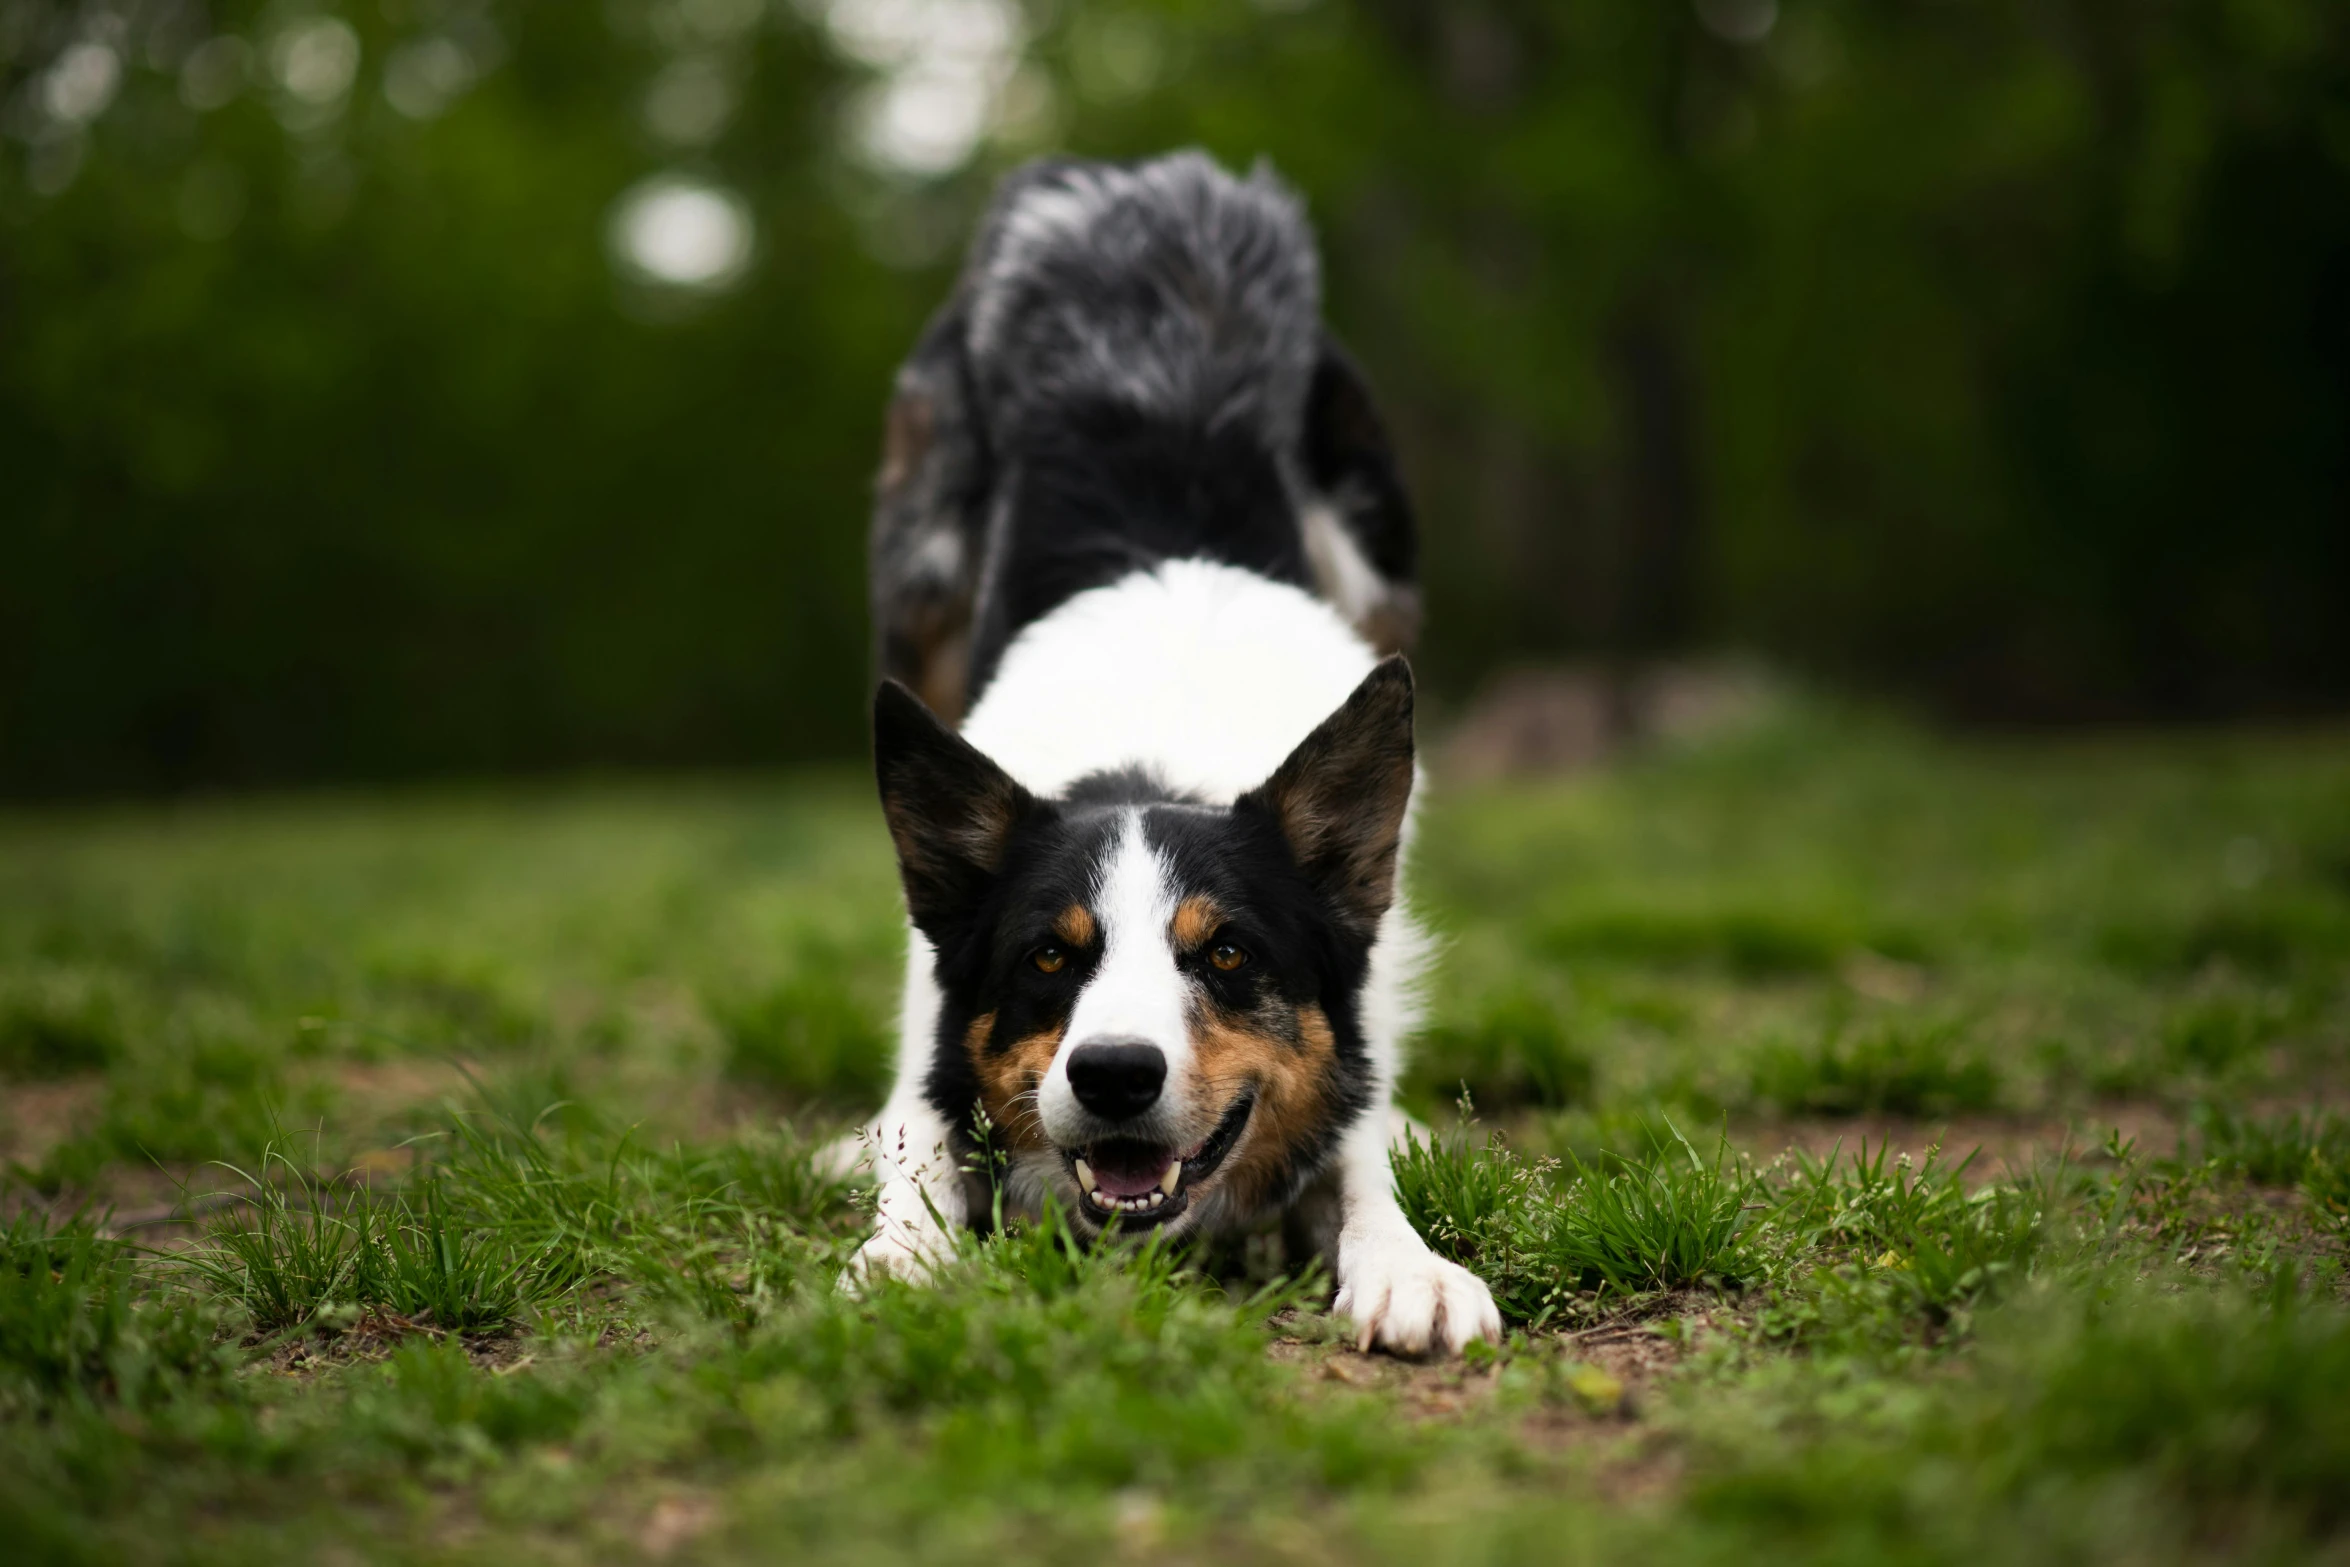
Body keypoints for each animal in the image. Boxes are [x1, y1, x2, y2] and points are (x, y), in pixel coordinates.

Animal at [850, 150, 1504, 1362]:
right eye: (1047, 959)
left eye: (1229, 954)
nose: (1113, 1075)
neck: (1147, 757)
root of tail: (1136, 176)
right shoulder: (930, 1033)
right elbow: (916, 1144)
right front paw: (902, 1256)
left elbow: (1359, 1148)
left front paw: (1408, 1263)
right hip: (919, 575)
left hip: (1379, 559)